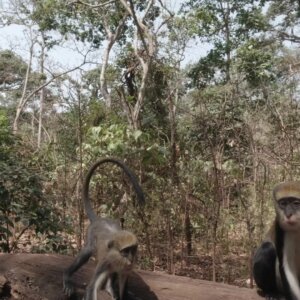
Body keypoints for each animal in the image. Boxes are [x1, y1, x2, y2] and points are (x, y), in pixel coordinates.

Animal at [63, 158, 146, 298]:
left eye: (133, 250)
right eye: (125, 252)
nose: (130, 259)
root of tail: (99, 220)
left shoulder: (125, 268)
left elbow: (123, 283)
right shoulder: (106, 262)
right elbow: (91, 288)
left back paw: (109, 287)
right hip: (91, 235)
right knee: (88, 251)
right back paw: (67, 277)